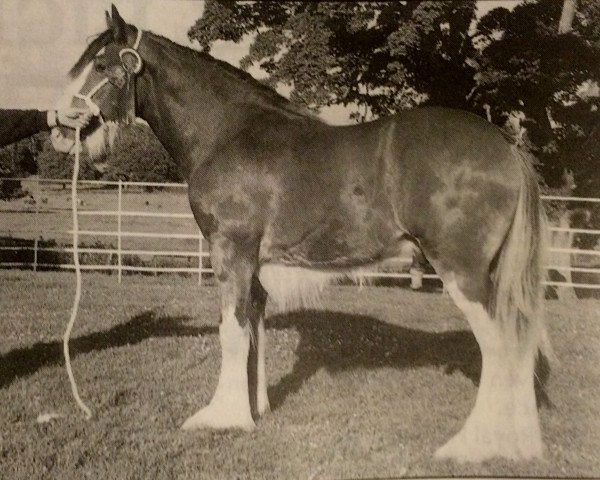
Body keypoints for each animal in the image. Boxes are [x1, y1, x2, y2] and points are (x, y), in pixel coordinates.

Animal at [58, 3, 552, 462]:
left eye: (100, 64)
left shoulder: (230, 251)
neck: (226, 132)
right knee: (520, 342)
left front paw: (221, 418)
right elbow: (254, 329)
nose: (59, 124)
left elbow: (231, 332)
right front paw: (254, 408)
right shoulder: (255, 263)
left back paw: (471, 445)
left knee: (498, 347)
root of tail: (506, 145)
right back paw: (520, 442)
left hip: (462, 272)